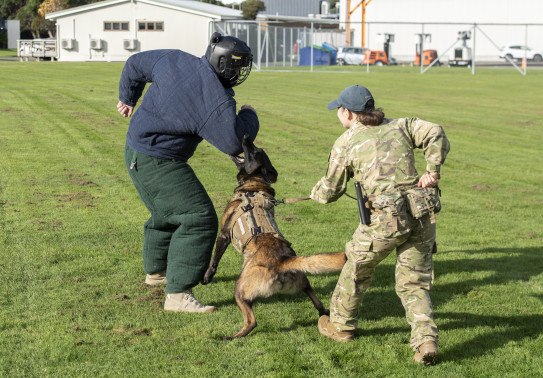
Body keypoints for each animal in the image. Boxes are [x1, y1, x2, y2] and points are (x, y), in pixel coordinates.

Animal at [202, 134, 346, 338]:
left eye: (255, 152)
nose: (245, 137)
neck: (254, 185)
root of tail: (282, 262)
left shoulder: (223, 235)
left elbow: (214, 259)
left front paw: (207, 277)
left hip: (240, 289)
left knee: (251, 322)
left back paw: (229, 337)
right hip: (303, 281)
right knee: (316, 301)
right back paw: (324, 311)